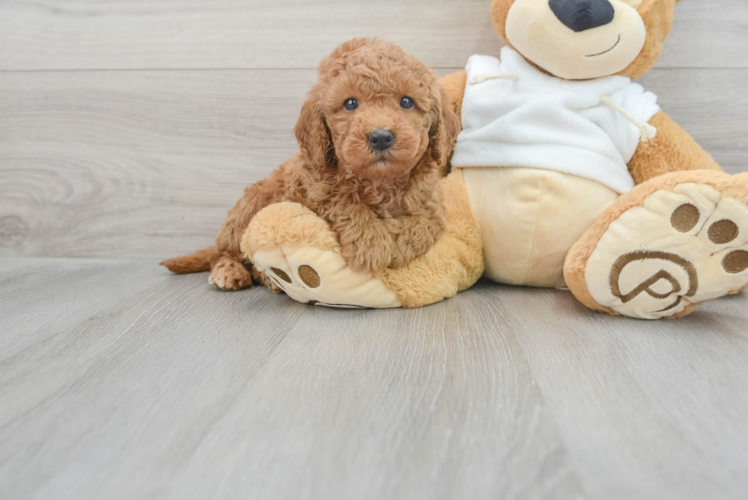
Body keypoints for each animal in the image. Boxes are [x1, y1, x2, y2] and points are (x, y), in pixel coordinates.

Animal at [164, 40, 462, 292]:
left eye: (407, 101)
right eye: (350, 103)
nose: (380, 137)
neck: (378, 180)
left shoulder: (431, 204)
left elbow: (424, 226)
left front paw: (397, 245)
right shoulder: (313, 186)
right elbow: (345, 203)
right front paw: (372, 243)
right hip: (249, 206)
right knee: (226, 252)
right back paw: (233, 272)